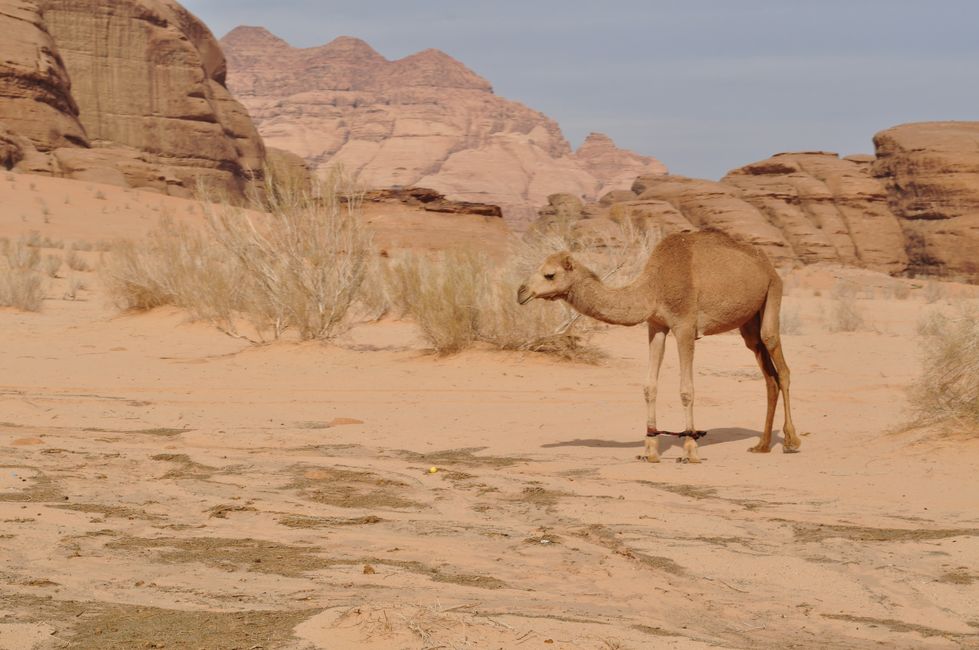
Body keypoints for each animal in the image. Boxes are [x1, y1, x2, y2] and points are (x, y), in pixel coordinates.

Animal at [516, 228, 800, 460]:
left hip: (773, 290)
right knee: (768, 374)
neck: (654, 287)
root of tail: (767, 264)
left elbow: (686, 390)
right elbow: (649, 386)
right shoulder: (656, 326)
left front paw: (690, 450)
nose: (521, 292)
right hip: (749, 321)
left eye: (549, 274)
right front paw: (650, 450)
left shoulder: (685, 326)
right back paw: (762, 445)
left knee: (779, 360)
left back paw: (791, 441)